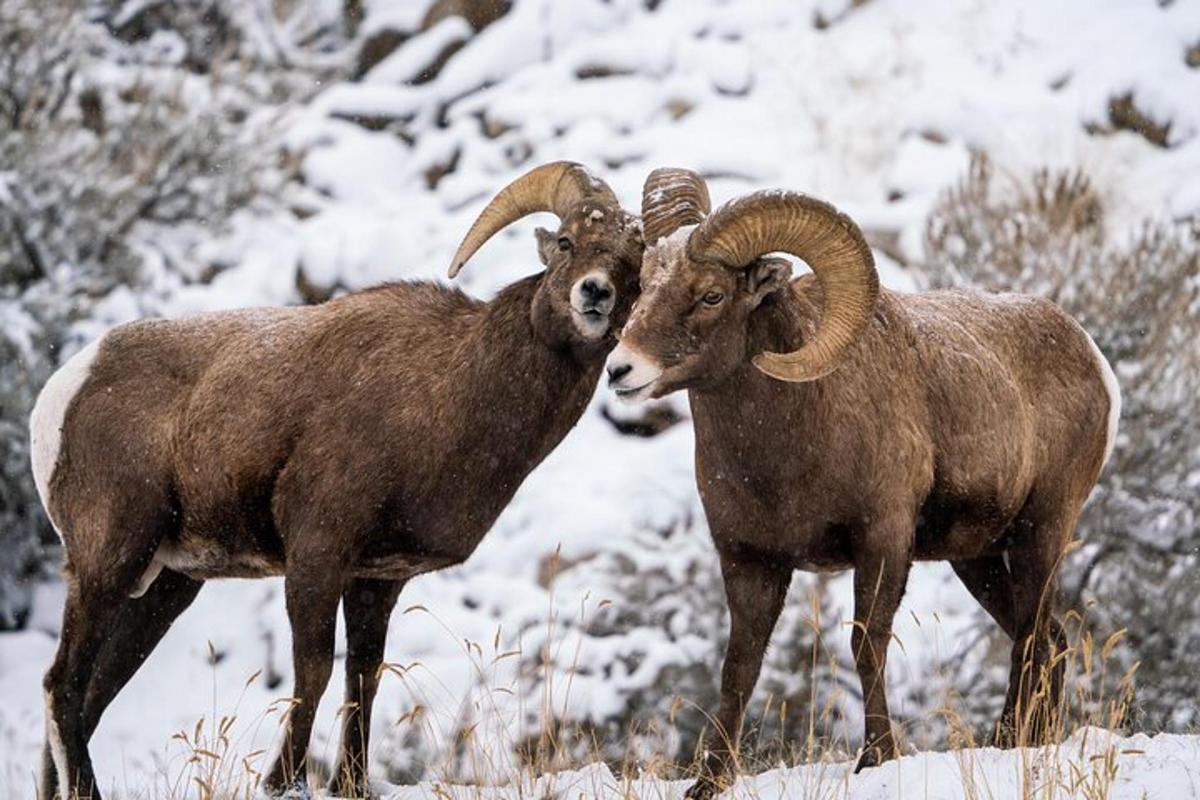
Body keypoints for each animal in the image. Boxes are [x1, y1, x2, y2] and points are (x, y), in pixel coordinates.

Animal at [28, 159, 643, 796]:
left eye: (634, 265)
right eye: (567, 242)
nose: (595, 293)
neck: (450, 394)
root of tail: (65, 386)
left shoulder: (377, 579)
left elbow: (363, 677)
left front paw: (352, 784)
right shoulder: (317, 554)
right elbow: (316, 671)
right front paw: (283, 782)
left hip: (163, 587)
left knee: (91, 697)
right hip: (109, 562)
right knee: (62, 685)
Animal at [604, 167, 1118, 796]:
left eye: (711, 295)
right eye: (645, 283)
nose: (622, 370)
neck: (786, 450)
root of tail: (1094, 359)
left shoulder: (882, 543)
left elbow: (865, 645)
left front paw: (876, 758)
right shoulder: (750, 560)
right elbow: (739, 666)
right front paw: (710, 781)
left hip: (1040, 535)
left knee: (1031, 638)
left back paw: (1009, 744)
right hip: (976, 559)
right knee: (1051, 641)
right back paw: (1025, 742)